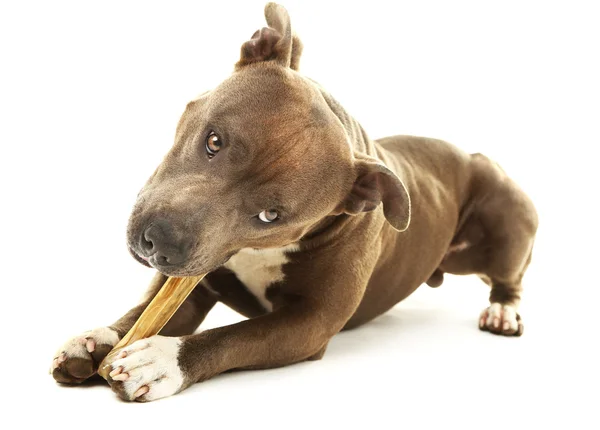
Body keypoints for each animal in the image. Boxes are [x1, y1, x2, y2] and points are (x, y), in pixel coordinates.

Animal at [50, 2, 540, 404]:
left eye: (270, 215)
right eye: (213, 140)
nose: (160, 242)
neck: (258, 251)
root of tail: (469, 153)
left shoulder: (309, 324)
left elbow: (235, 337)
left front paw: (161, 360)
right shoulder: (193, 283)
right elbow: (143, 311)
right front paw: (98, 339)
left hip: (507, 210)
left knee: (510, 276)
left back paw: (502, 311)